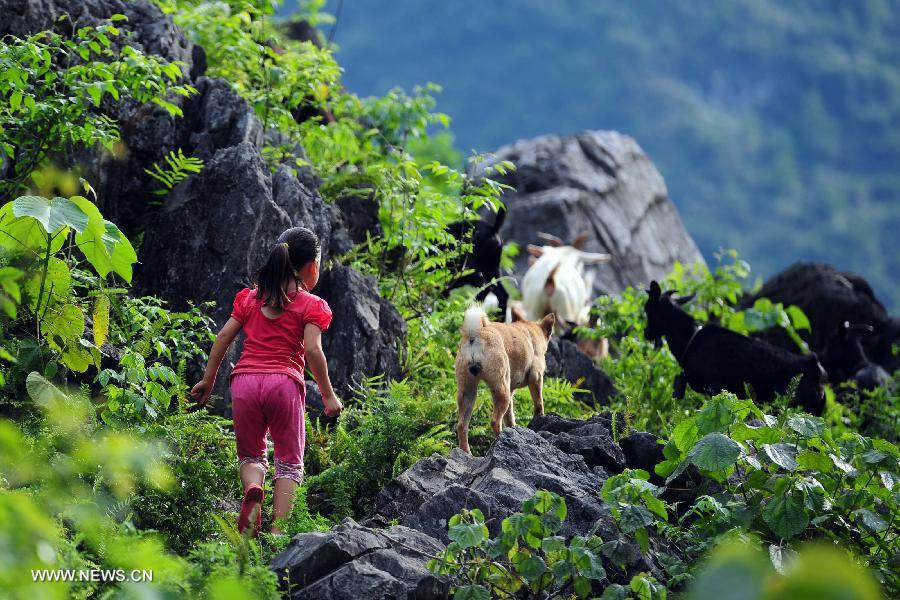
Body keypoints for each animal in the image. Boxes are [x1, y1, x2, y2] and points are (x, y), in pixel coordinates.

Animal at [458, 308, 556, 452]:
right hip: (500, 390)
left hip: (468, 392)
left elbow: (509, 417)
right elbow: (539, 403)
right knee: (495, 421)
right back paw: (501, 439)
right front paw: (540, 417)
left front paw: (513, 428)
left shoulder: (510, 391)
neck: (528, 329)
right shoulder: (536, 377)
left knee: (462, 426)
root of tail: (475, 333)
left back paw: (466, 452)